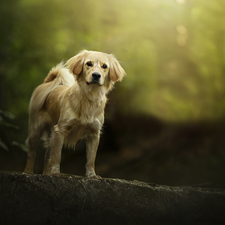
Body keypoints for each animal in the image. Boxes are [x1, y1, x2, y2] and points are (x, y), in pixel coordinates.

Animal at [24, 50, 126, 178]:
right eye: (89, 63)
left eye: (104, 66)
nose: (96, 75)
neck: (90, 97)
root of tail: (48, 83)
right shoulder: (60, 130)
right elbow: (57, 155)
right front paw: (56, 172)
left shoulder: (94, 133)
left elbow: (91, 159)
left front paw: (92, 175)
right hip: (35, 130)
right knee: (32, 153)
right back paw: (28, 172)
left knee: (48, 154)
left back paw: (47, 173)